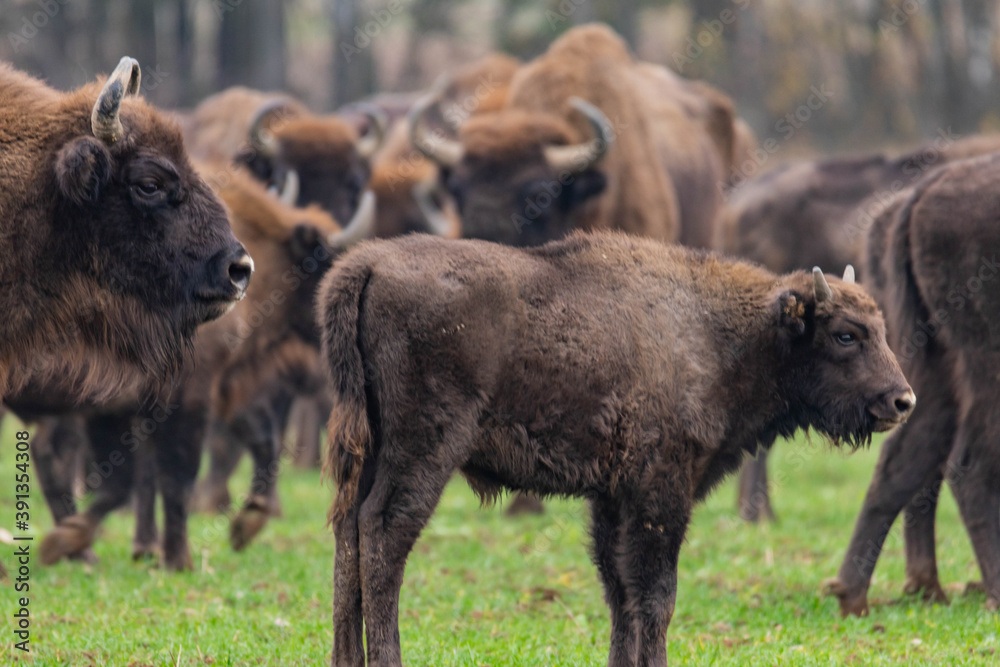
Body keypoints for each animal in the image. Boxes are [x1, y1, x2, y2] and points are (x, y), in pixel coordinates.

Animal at [318, 232, 916, 664]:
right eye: (846, 334)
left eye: (882, 328)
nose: (902, 400)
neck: (720, 333)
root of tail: (366, 266)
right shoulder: (662, 493)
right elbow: (655, 594)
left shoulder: (613, 498)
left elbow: (620, 590)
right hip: (425, 451)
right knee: (384, 534)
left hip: (369, 451)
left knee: (348, 534)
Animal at [824, 150, 1000, 616]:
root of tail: (926, 189)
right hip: (983, 364)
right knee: (968, 465)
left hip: (938, 362)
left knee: (909, 455)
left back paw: (858, 594)